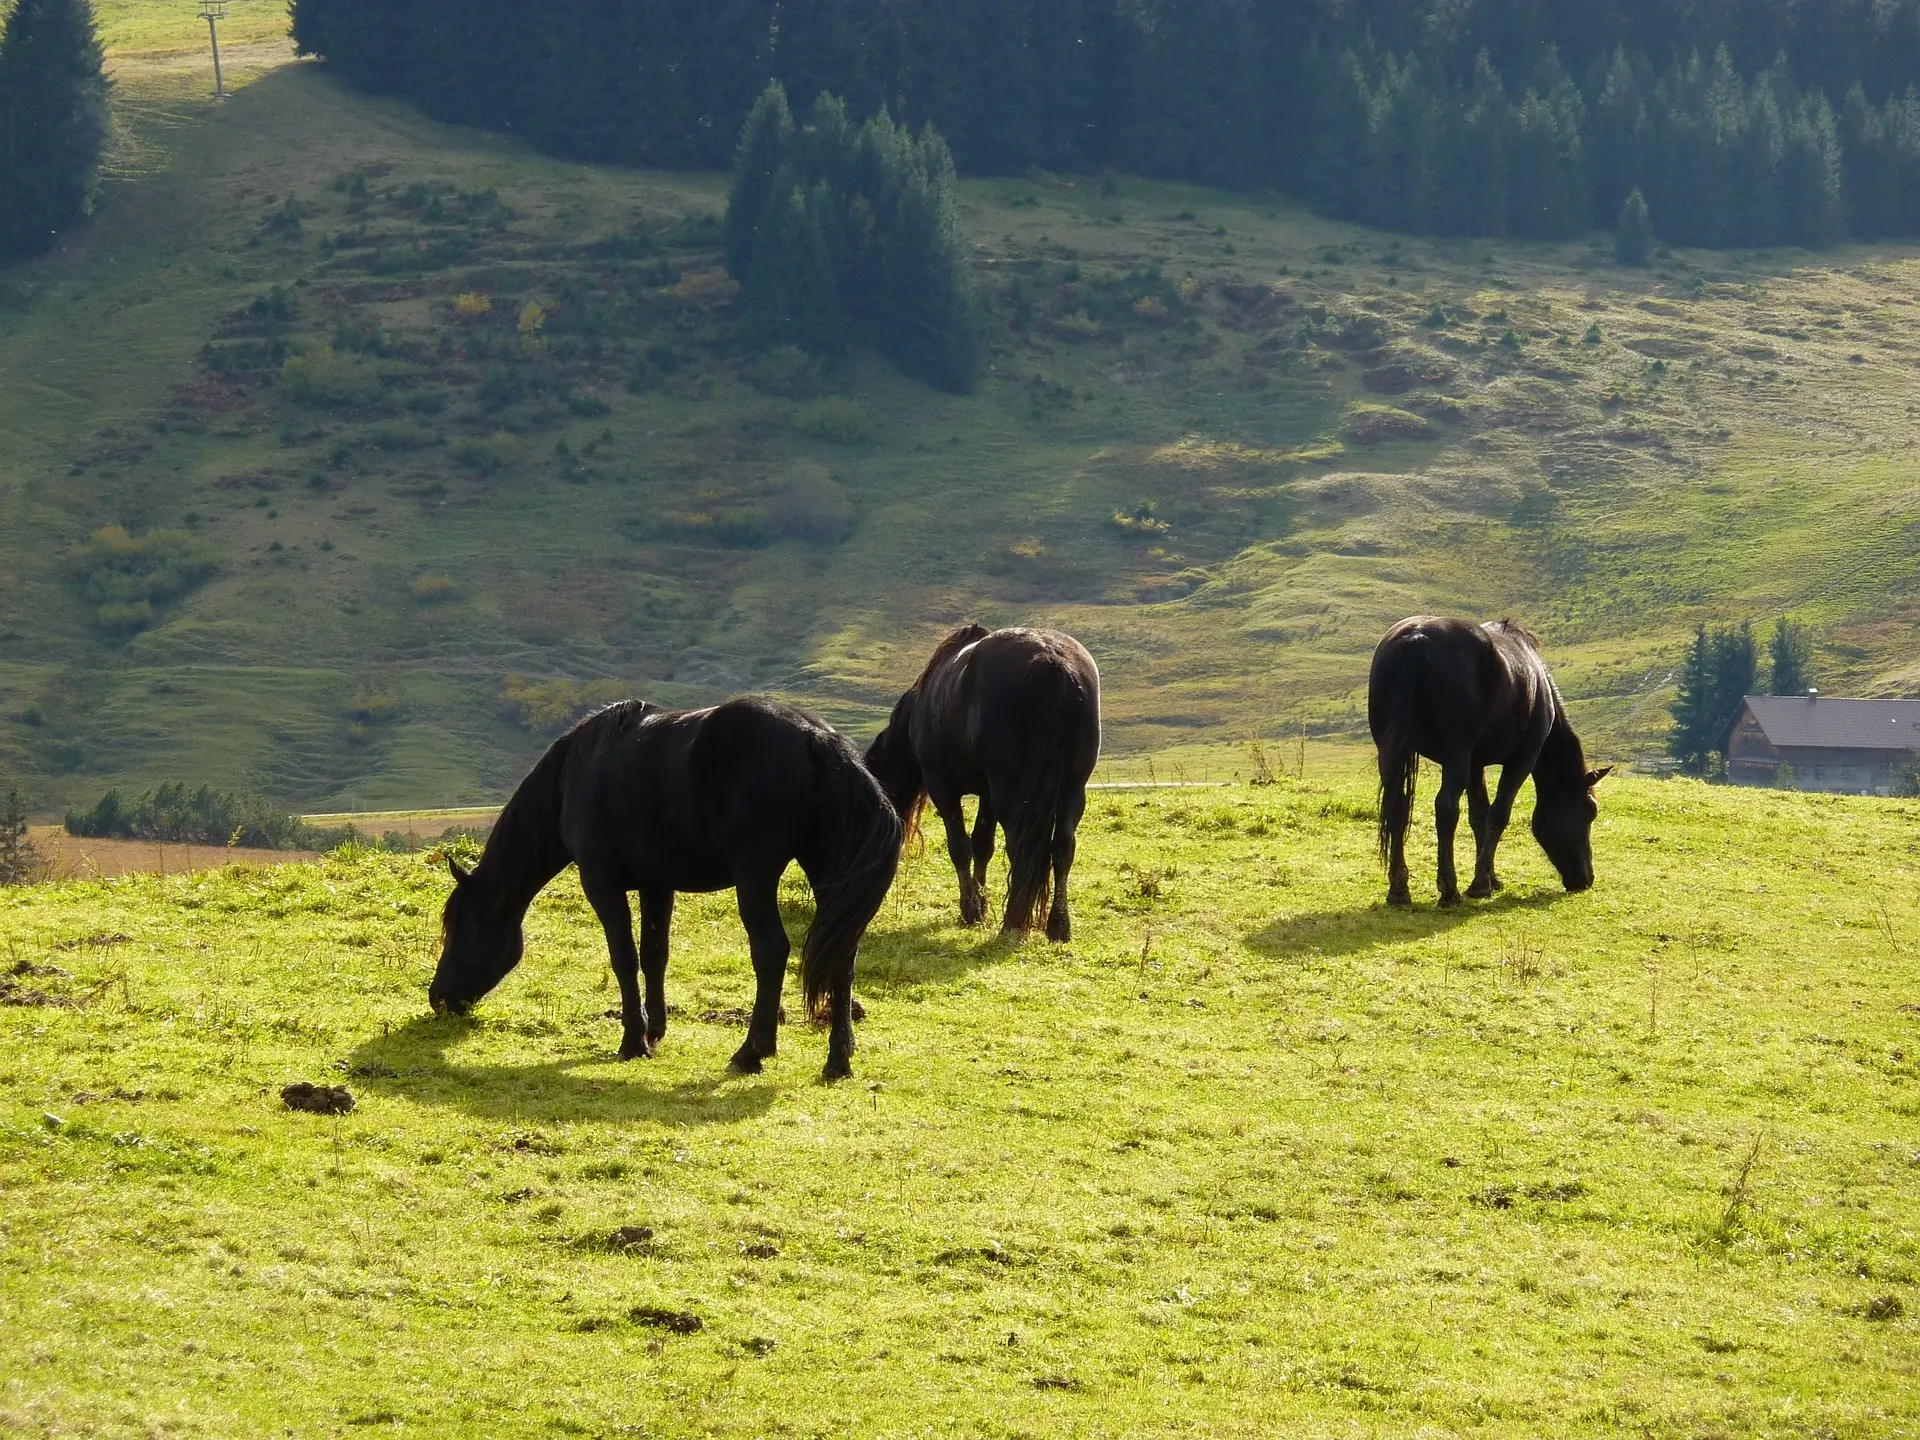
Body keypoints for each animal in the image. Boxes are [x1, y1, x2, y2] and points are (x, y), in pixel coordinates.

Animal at [428, 698, 898, 1082]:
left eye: (458, 926)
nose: (438, 999)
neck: (575, 774)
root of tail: (819, 739)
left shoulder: (602, 885)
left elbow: (624, 957)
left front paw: (632, 1041)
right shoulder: (657, 885)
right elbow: (655, 955)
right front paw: (654, 1030)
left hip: (756, 879)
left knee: (771, 952)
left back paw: (752, 1052)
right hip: (828, 877)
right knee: (841, 956)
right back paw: (838, 1060)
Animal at [867, 625, 1105, 940]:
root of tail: (1050, 658)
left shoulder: (944, 789)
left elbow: (960, 848)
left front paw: (969, 909)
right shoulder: (987, 793)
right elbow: (982, 845)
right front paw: (980, 906)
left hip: (1009, 787)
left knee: (1020, 845)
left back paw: (1013, 922)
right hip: (1073, 788)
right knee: (1063, 847)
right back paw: (1058, 925)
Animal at [1374, 618, 1612, 906]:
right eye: (1590, 811)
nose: (1586, 879)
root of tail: (1416, 638)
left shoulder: (1475, 765)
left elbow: (1479, 815)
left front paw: (1491, 877)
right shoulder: (1523, 758)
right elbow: (1498, 814)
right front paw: (1480, 884)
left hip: (1391, 753)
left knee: (1397, 809)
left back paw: (1399, 890)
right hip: (1456, 757)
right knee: (1446, 808)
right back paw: (1449, 889)